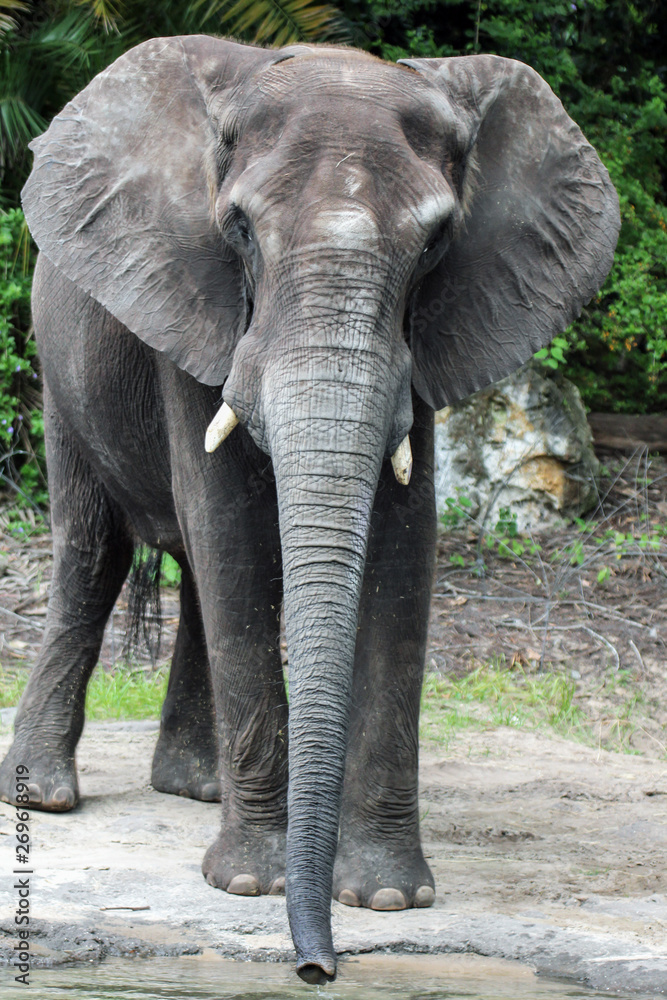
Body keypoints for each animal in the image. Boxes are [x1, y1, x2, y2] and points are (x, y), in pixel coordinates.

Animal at [0, 35, 619, 983]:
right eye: (240, 230)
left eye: (436, 242)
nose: (316, 968)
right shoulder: (197, 294)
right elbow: (229, 535)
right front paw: (249, 885)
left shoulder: (426, 338)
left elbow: (402, 550)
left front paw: (388, 898)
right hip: (58, 358)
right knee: (92, 552)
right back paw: (47, 797)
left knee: (187, 576)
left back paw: (195, 787)